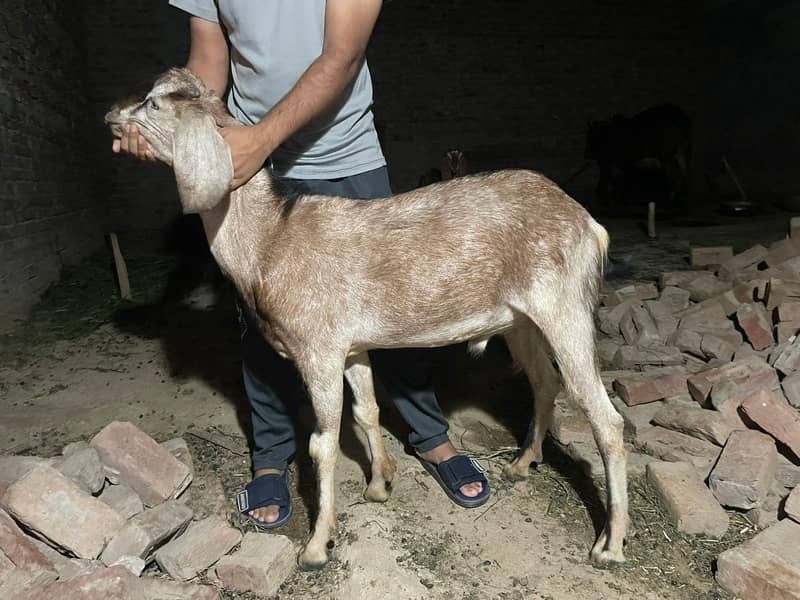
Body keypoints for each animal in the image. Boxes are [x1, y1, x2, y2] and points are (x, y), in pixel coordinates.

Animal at [105, 67, 628, 569]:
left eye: (152, 104)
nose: (111, 112)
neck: (269, 240)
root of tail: (587, 223)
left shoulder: (317, 353)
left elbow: (322, 444)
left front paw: (317, 546)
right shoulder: (351, 348)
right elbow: (367, 410)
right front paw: (379, 485)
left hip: (564, 311)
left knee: (605, 419)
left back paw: (609, 544)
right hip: (521, 322)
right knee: (543, 380)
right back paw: (522, 464)